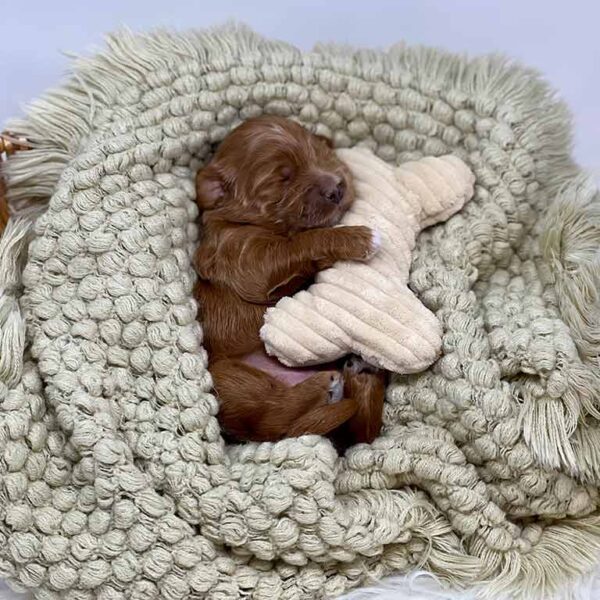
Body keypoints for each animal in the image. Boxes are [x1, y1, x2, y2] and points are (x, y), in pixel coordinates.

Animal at [195, 116, 386, 446]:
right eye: (282, 179)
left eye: (319, 150)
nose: (337, 188)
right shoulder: (246, 259)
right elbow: (305, 240)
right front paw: (360, 238)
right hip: (227, 378)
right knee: (279, 415)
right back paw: (326, 385)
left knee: (359, 433)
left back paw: (359, 373)